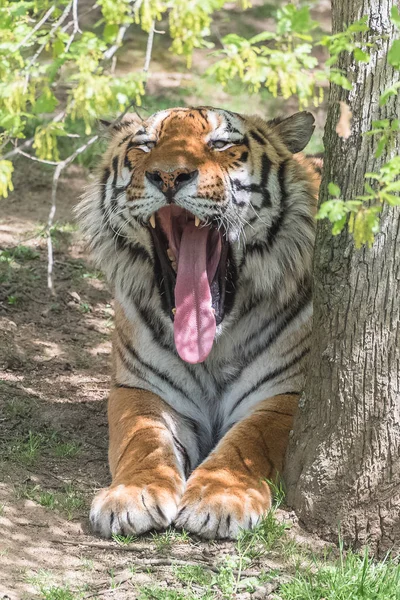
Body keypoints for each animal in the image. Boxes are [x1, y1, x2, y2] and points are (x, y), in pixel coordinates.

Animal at [76, 105, 318, 540]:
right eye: (146, 145)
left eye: (220, 144)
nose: (169, 176)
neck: (212, 347)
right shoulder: (140, 387)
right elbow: (142, 438)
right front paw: (131, 496)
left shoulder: (287, 393)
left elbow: (250, 442)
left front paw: (218, 499)